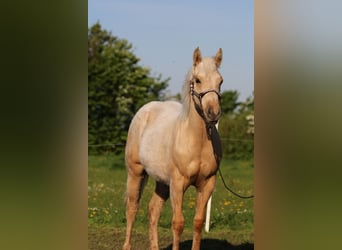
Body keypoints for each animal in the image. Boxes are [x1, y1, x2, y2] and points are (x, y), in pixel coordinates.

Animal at [123, 47, 224, 250]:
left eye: (220, 81)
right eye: (197, 80)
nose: (213, 113)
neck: (198, 140)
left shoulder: (207, 184)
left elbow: (198, 222)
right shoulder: (178, 184)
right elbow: (178, 223)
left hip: (162, 181)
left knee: (153, 209)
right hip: (136, 173)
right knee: (132, 208)